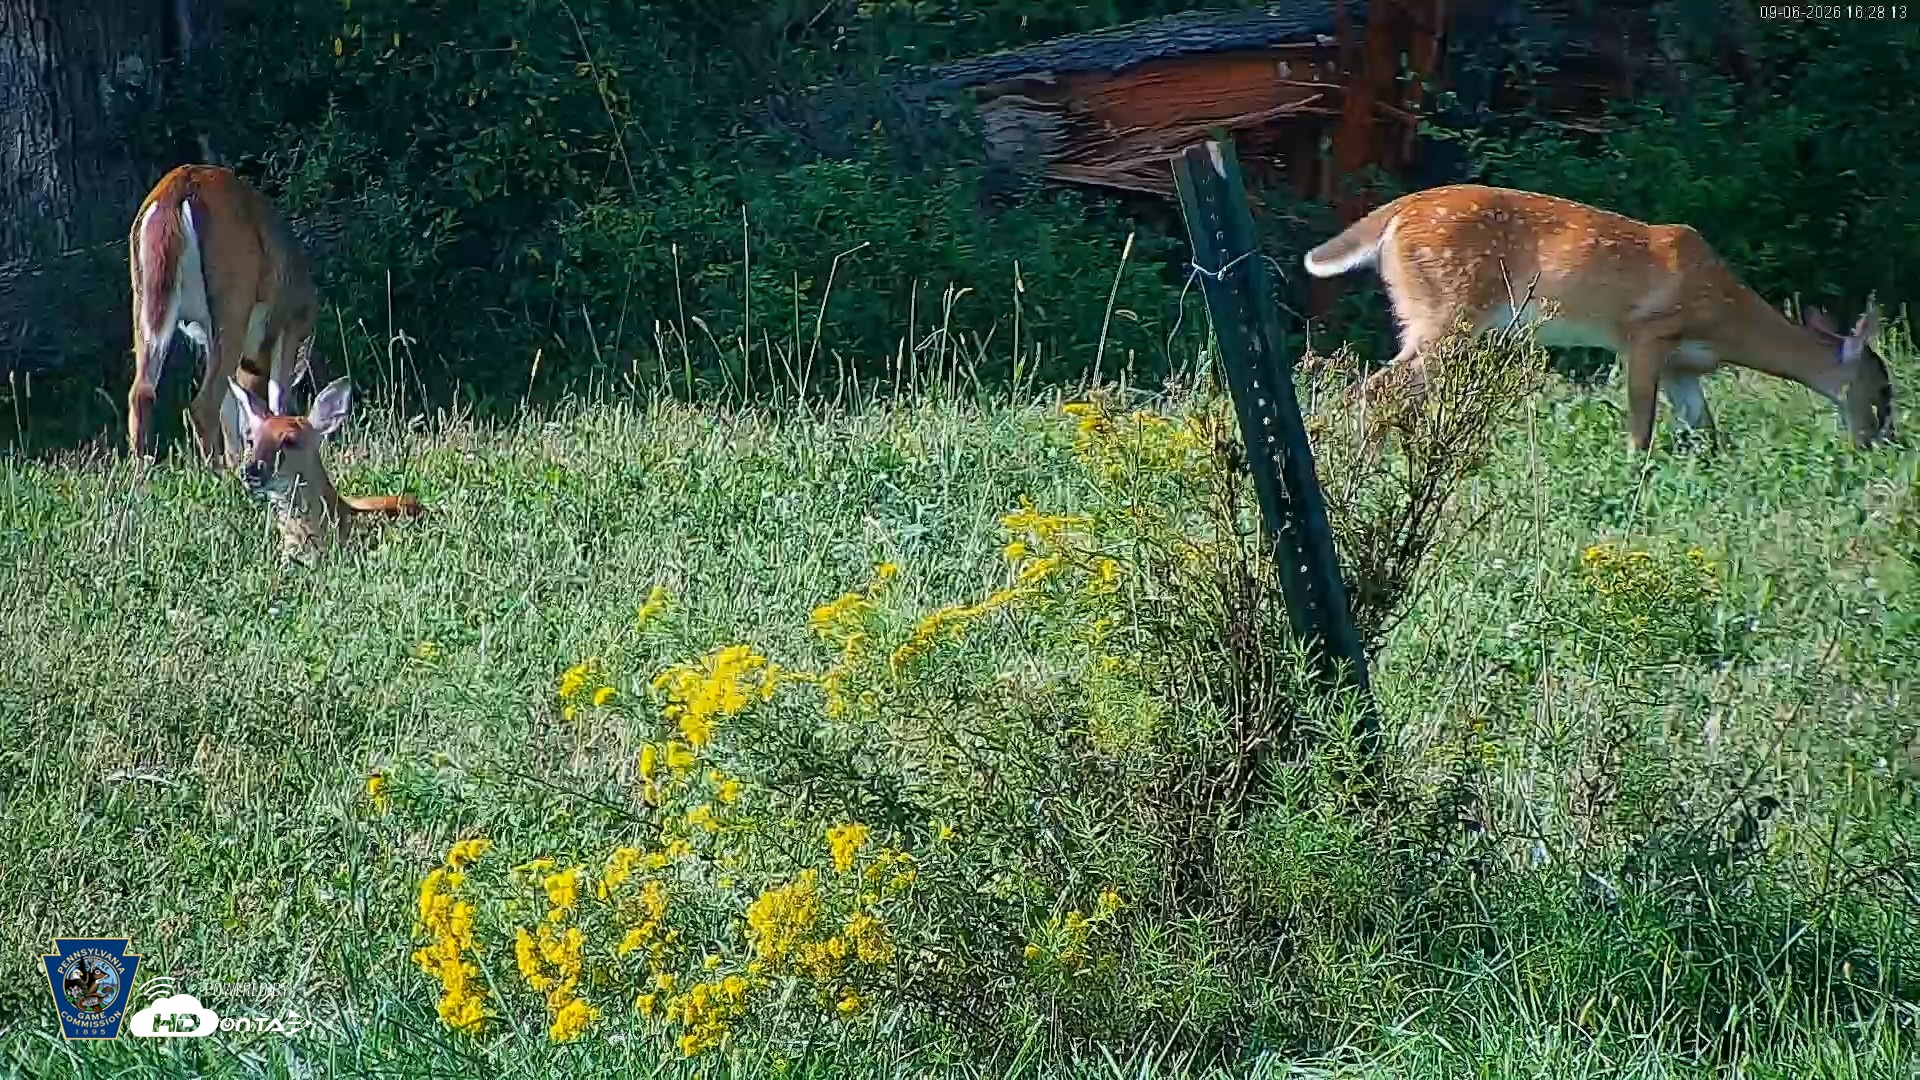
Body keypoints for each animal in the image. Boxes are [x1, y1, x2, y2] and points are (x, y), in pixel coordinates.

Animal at [127, 164, 323, 466]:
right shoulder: (291, 324)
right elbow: (276, 397)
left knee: (142, 391)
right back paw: (216, 473)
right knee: (203, 404)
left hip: (147, 302)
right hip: (232, 304)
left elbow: (232, 408)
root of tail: (178, 188)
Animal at [1301, 184, 1895, 453]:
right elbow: (1641, 427)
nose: (1881, 441)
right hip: (1447, 310)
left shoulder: (1684, 367)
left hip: (1428, 314)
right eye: (1884, 388)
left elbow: (1707, 431)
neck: (1725, 321)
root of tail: (1397, 213)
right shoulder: (1644, 335)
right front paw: (1637, 472)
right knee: (1374, 387)